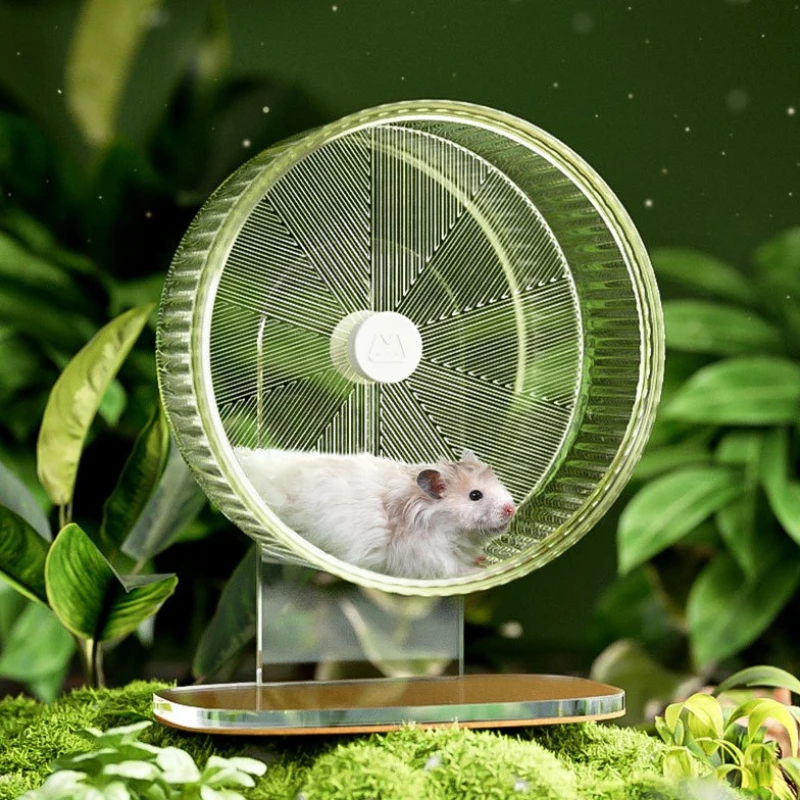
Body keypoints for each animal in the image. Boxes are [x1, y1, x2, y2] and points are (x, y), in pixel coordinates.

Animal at [233, 447, 516, 579]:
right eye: (475, 495)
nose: (511, 509)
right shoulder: (426, 555)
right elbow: (452, 567)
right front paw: (477, 571)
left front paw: (482, 559)